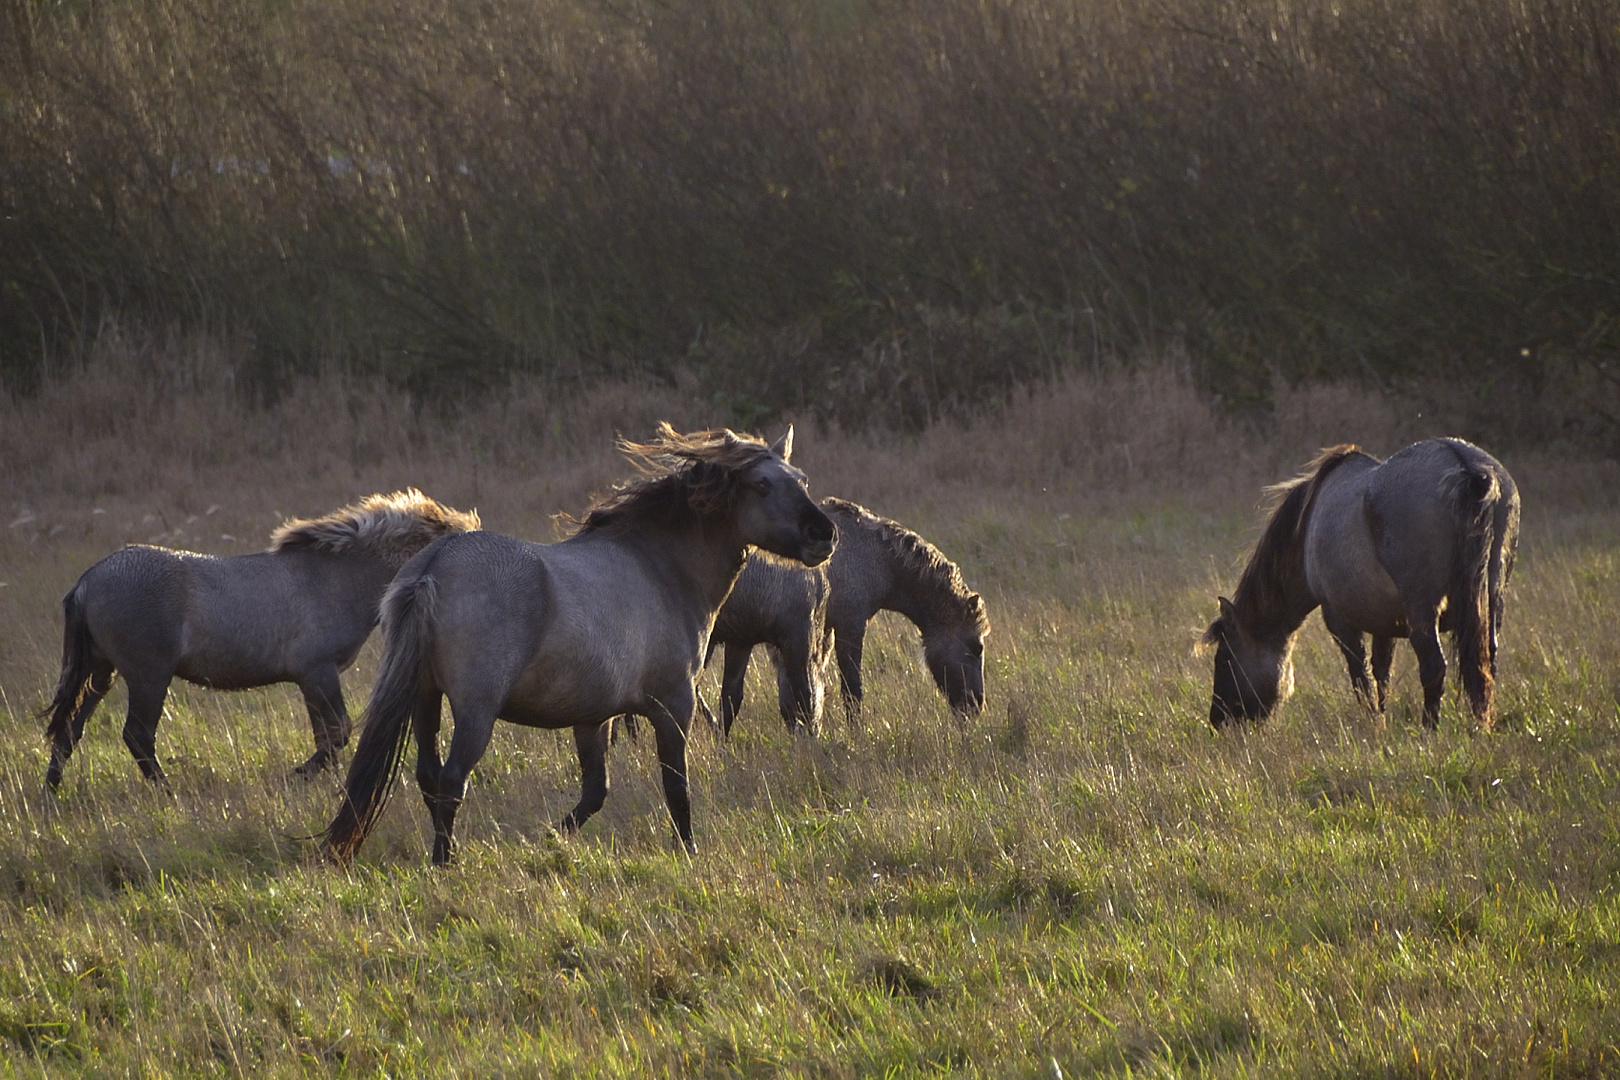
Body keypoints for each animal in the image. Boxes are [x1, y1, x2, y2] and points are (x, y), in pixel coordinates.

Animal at [41, 488, 476, 786]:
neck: (334, 579)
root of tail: (87, 581)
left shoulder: (311, 679)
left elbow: (328, 735)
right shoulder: (317, 673)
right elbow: (337, 732)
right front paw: (298, 776)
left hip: (101, 672)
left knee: (69, 731)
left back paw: (52, 792)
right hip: (148, 675)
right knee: (137, 735)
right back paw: (166, 791)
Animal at [324, 427, 842, 867]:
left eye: (801, 480)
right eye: (761, 485)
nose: (825, 534)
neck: (660, 569)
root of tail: (433, 565)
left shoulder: (593, 717)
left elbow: (595, 792)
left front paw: (549, 840)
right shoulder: (674, 706)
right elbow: (676, 787)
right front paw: (688, 851)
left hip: (425, 699)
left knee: (429, 776)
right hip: (475, 711)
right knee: (452, 780)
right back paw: (445, 862)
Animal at [709, 498, 984, 735]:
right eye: (976, 647)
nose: (976, 705)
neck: (875, 554)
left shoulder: (821, 633)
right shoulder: (849, 625)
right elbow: (851, 689)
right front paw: (856, 734)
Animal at [1205, 433, 1516, 731]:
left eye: (1224, 658)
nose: (1217, 721)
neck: (1307, 528)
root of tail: (1468, 469)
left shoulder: (1339, 620)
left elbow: (1361, 675)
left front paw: (1374, 723)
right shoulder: (1387, 623)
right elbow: (1382, 673)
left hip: (1422, 610)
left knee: (1434, 668)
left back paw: (1429, 731)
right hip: (1491, 602)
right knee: (1485, 663)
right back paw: (1480, 727)